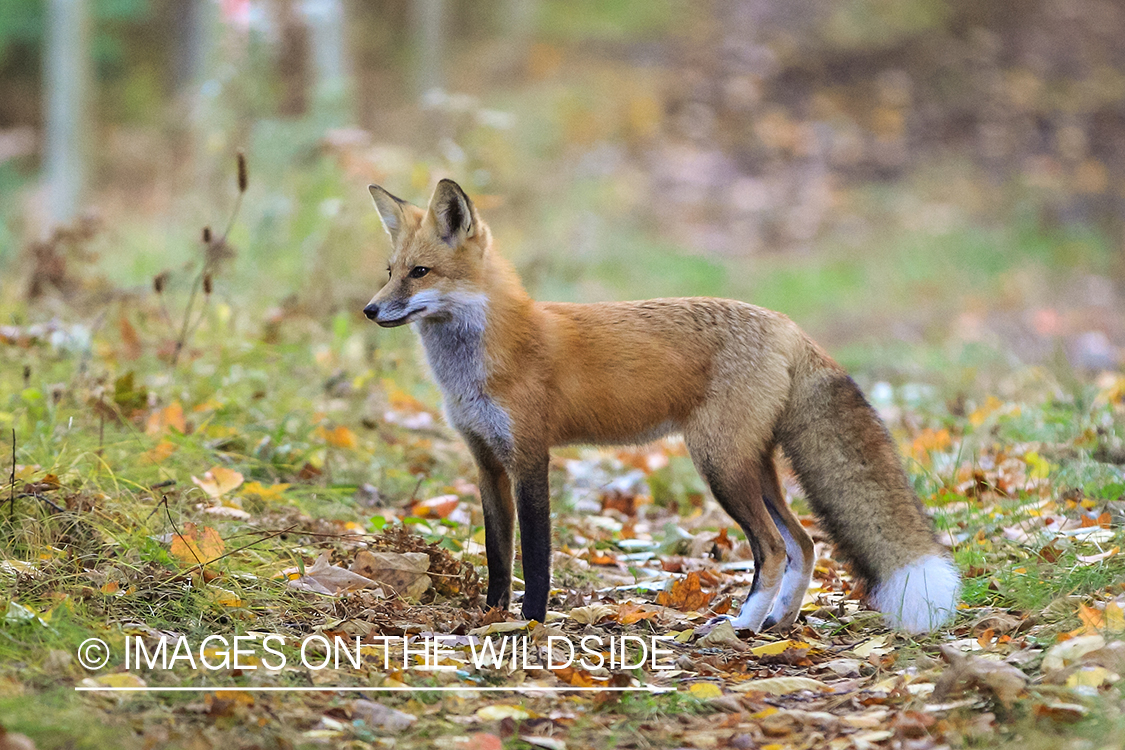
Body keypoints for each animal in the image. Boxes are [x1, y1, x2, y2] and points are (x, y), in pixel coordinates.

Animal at [364, 178, 963, 638]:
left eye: (420, 273)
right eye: (389, 270)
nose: (369, 310)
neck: (485, 358)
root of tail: (786, 325)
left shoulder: (531, 457)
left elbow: (534, 558)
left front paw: (529, 624)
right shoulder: (487, 462)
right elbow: (496, 553)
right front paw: (490, 618)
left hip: (720, 466)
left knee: (772, 549)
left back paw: (741, 627)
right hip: (752, 466)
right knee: (805, 543)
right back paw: (779, 623)